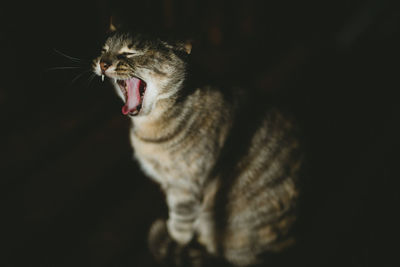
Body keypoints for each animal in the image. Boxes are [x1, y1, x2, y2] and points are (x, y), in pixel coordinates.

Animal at [93, 30, 304, 266]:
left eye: (131, 52)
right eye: (104, 50)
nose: (102, 63)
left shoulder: (184, 186)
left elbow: (180, 225)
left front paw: (174, 239)